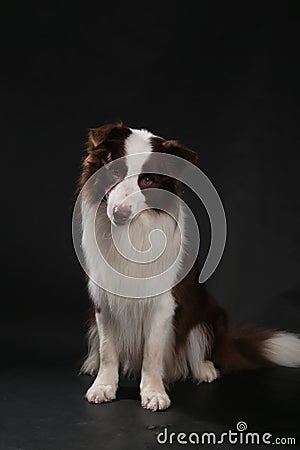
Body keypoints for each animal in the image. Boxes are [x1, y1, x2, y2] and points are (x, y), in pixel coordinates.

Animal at [77, 122, 300, 412]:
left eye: (147, 180)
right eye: (114, 171)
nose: (120, 215)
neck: (131, 233)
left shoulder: (163, 303)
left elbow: (152, 353)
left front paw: (154, 392)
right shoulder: (104, 299)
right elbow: (107, 348)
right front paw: (103, 385)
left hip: (208, 316)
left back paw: (205, 369)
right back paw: (91, 363)